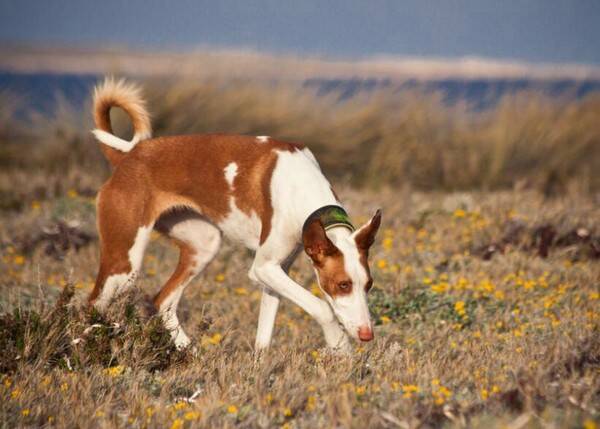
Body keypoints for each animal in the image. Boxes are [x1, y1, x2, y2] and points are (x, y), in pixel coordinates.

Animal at [87, 77, 382, 352]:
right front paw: (340, 345)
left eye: (368, 285)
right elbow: (322, 307)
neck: (300, 184)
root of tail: (129, 157)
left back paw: (191, 354)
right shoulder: (262, 268)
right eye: (342, 285)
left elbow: (264, 336)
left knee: (162, 302)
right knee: (92, 304)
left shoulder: (275, 271)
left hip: (203, 245)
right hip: (124, 263)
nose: (367, 335)